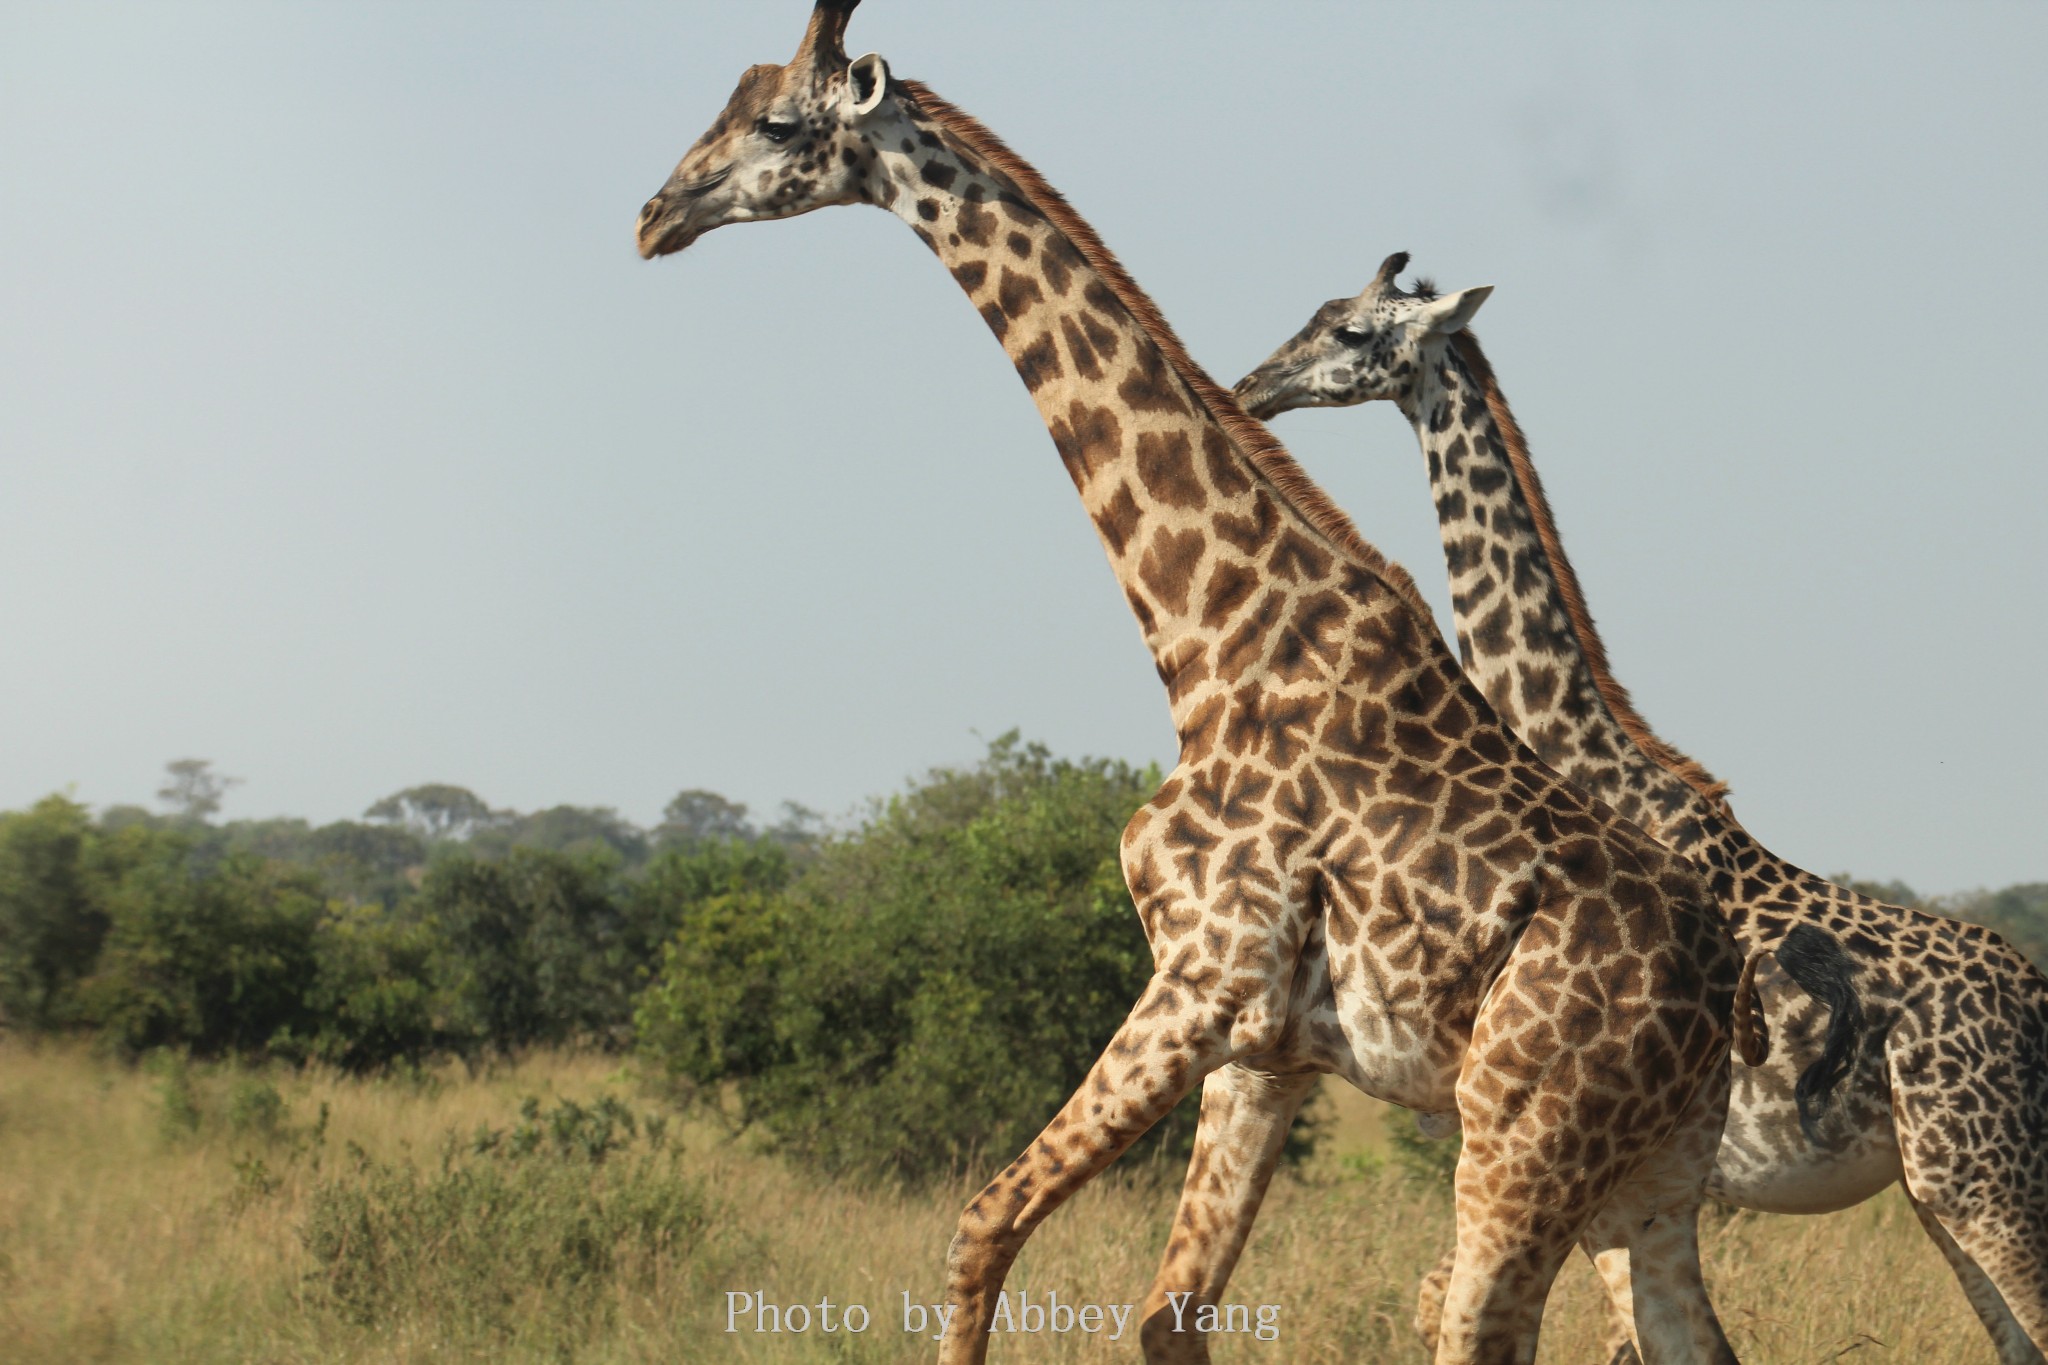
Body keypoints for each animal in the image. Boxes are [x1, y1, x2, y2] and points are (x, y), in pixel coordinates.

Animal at [630, 5, 1769, 1358]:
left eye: (775, 123)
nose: (653, 214)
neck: (1209, 638)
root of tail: (1722, 1002)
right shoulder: (1262, 1050)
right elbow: (1163, 1314)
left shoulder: (1195, 977)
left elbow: (979, 1228)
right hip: (1648, 1184)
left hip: (1520, 1142)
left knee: (1477, 1325)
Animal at [1228, 253, 2048, 1358]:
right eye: (1316, 312)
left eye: (1353, 332)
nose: (1254, 387)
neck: (1585, 763)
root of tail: (2037, 998)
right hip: (1942, 1186)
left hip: (1983, 1175)